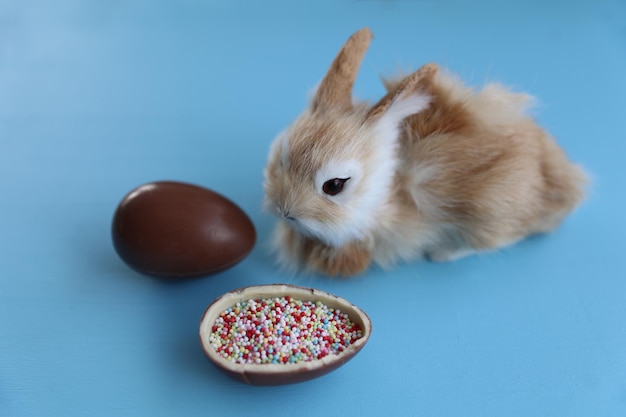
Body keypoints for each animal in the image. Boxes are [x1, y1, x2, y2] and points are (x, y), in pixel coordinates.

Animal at [260, 28, 584, 276]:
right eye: (284, 159)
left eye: (334, 186)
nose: (286, 212)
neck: (386, 191)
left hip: (491, 212)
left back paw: (443, 253)